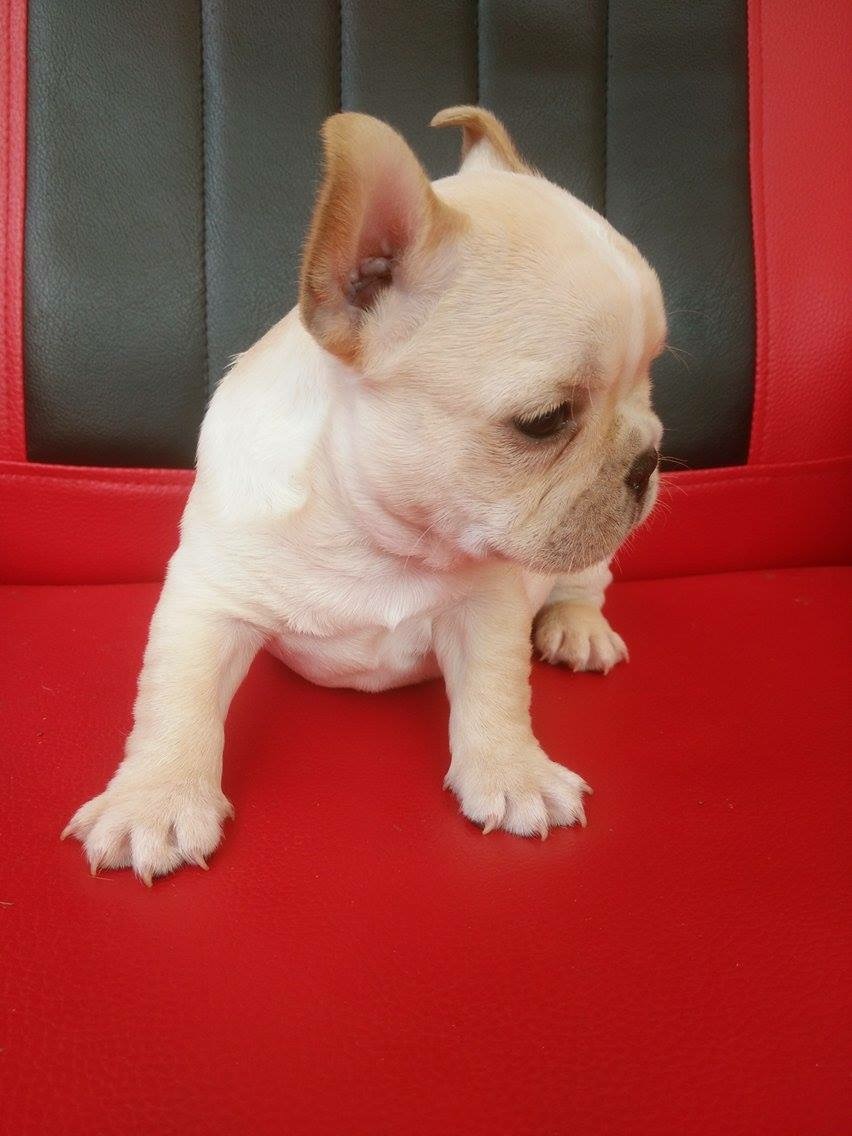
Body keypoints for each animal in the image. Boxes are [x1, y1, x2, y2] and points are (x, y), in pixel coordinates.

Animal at [64, 107, 666, 883]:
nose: (647, 456)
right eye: (546, 420)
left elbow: (496, 693)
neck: (374, 534)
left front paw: (513, 771)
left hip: (587, 559)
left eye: (650, 375)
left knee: (583, 586)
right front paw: (155, 800)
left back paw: (577, 629)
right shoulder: (209, 599)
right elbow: (177, 700)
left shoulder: (489, 606)